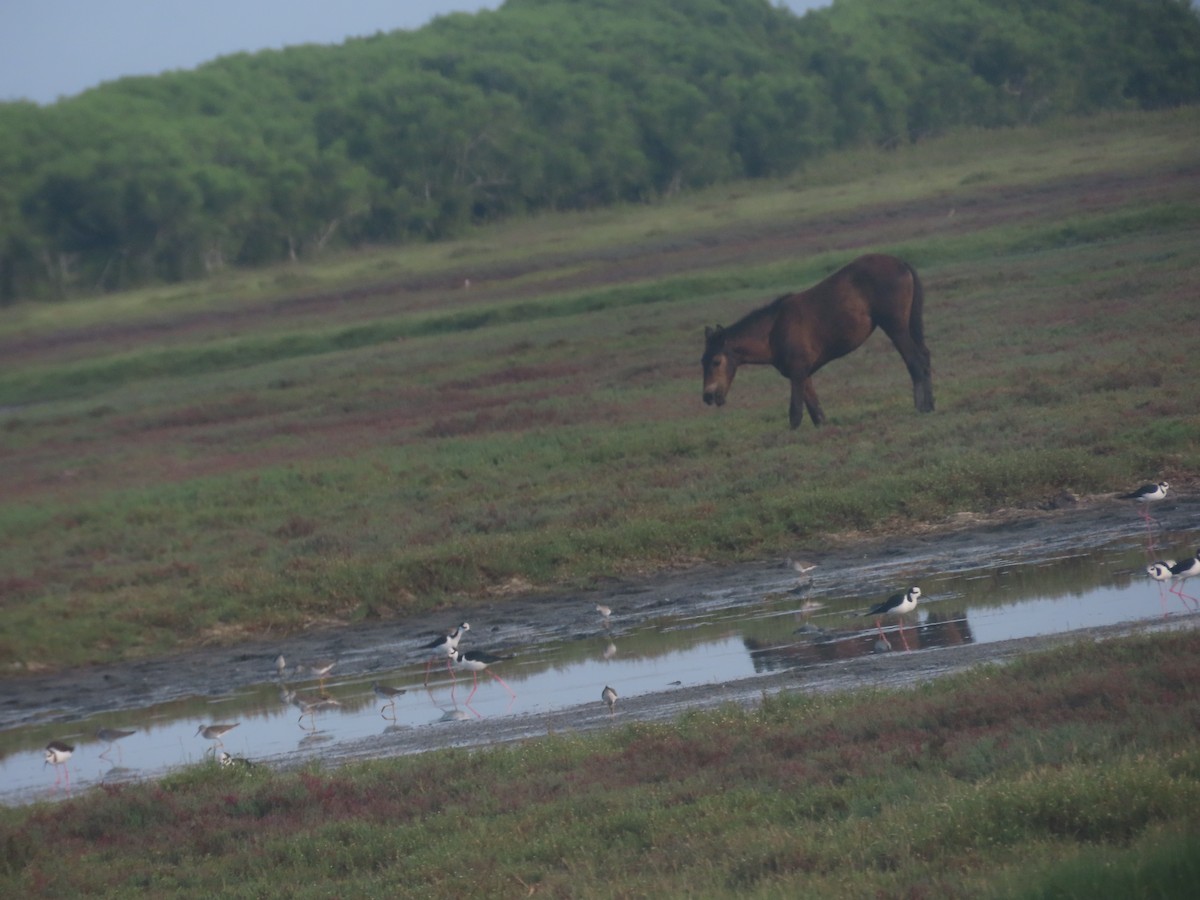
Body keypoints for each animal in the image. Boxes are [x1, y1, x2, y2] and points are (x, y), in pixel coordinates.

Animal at [700, 254, 936, 429]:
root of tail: (901, 263)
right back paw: (931, 405)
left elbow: (795, 414)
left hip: (896, 328)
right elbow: (817, 415)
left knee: (915, 362)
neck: (773, 330)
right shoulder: (803, 374)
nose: (708, 396)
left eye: (716, 361)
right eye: (702, 362)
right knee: (925, 358)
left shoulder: (798, 371)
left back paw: (920, 408)